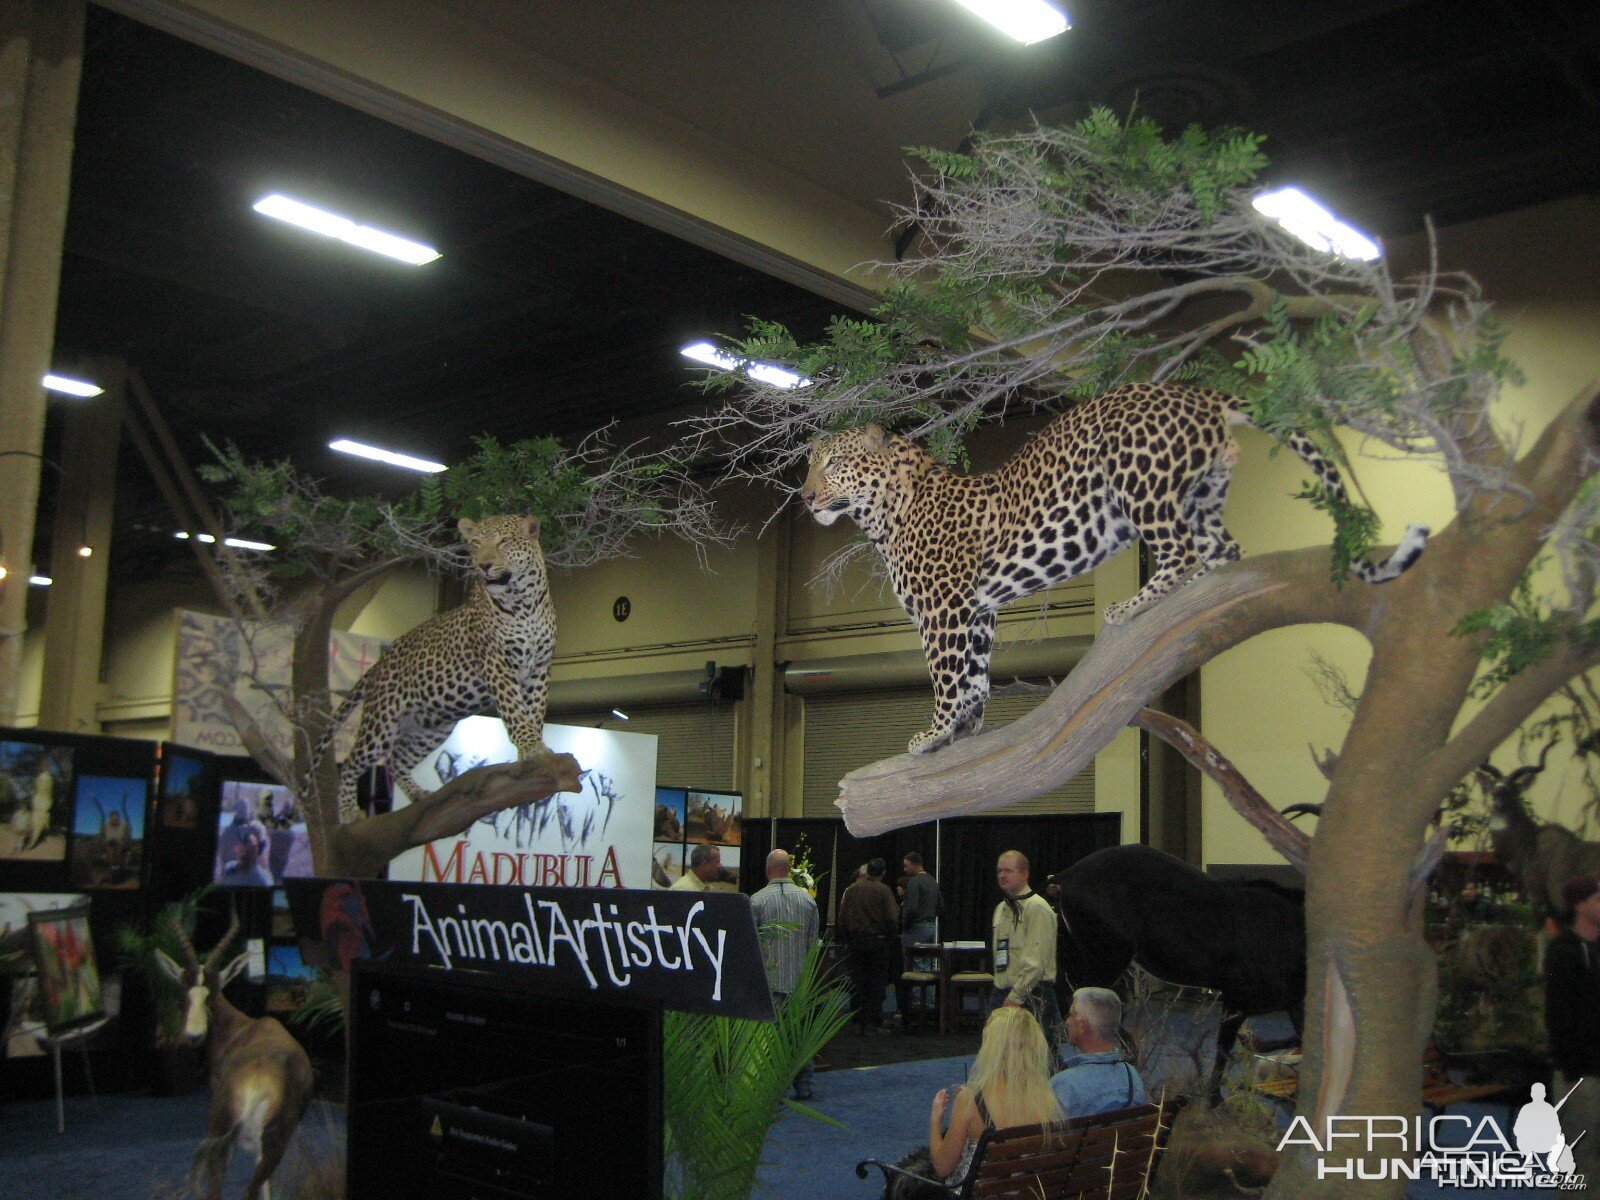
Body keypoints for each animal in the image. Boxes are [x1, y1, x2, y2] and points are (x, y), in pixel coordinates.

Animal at [305, 512, 556, 825]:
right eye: (475, 544)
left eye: (504, 542)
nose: (483, 565)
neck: (524, 603)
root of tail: (379, 662)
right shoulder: (496, 663)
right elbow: (515, 710)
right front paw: (530, 746)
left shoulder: (539, 667)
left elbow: (535, 710)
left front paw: (535, 747)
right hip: (381, 722)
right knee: (354, 761)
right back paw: (350, 811)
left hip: (432, 726)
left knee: (397, 759)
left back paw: (419, 795)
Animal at [800, 385, 1427, 755]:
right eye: (809, 467)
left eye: (831, 464)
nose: (805, 497)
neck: (884, 513)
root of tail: (1195, 393)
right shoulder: (977, 610)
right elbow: (975, 673)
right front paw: (966, 729)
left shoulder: (944, 609)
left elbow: (948, 674)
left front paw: (935, 731)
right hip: (1204, 493)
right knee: (1223, 549)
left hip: (1139, 480)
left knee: (1181, 550)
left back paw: (1133, 605)